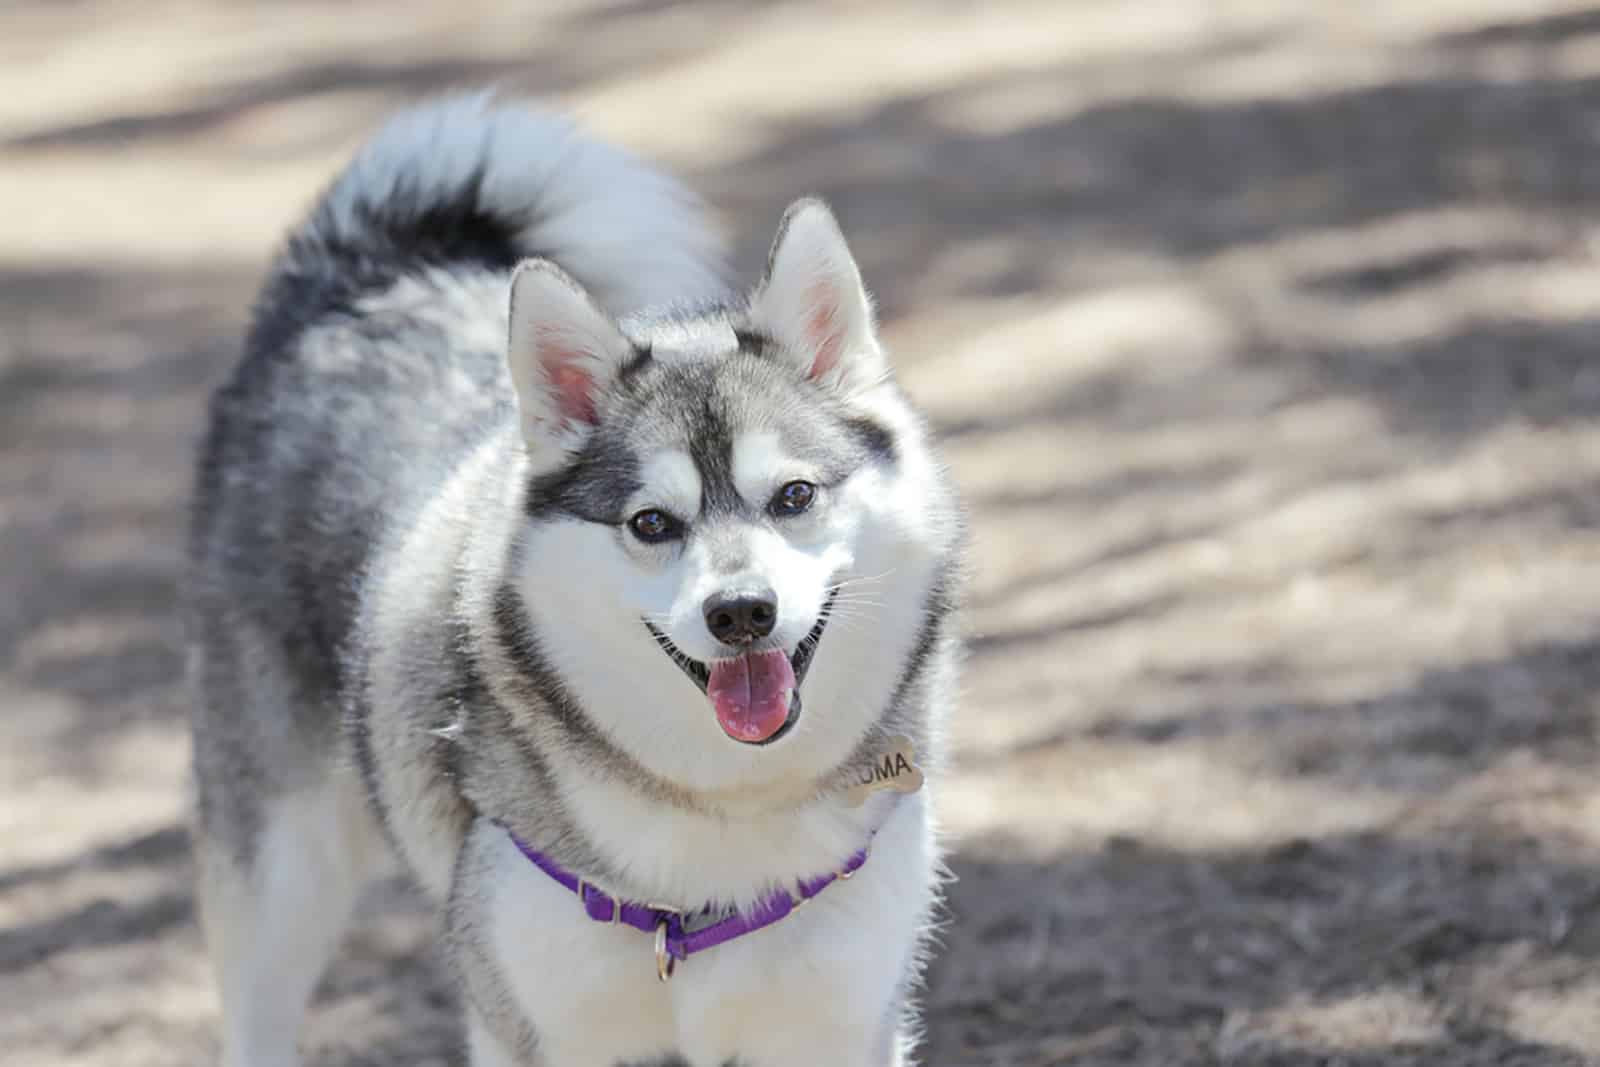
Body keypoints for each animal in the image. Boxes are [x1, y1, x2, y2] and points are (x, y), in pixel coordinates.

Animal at [187, 93, 960, 1067]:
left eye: (793, 496)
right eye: (652, 523)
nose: (743, 613)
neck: (719, 830)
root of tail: (366, 278)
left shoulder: (841, 1024)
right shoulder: (535, 1028)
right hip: (279, 874)